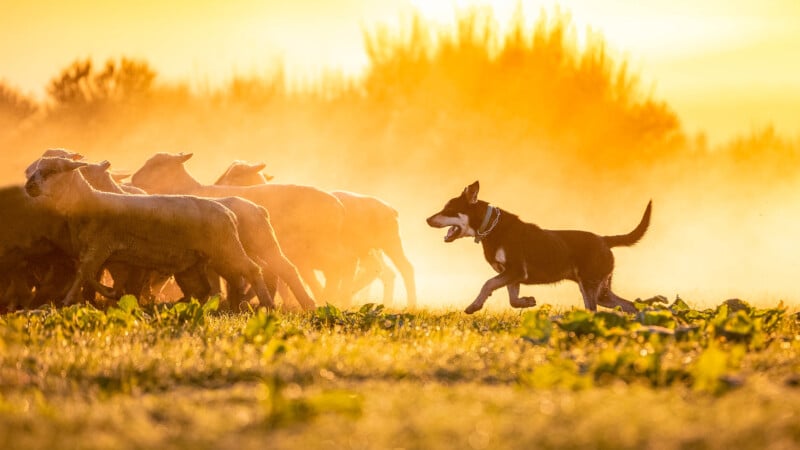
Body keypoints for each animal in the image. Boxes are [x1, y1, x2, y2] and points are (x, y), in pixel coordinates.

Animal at [424, 181, 648, 314]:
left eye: (449, 209)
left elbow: (487, 284)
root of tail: (605, 240)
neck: (491, 227)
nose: (427, 219)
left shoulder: (515, 270)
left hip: (590, 285)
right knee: (630, 305)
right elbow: (512, 299)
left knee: (594, 310)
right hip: (602, 291)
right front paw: (527, 301)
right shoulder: (512, 275)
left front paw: (474, 306)